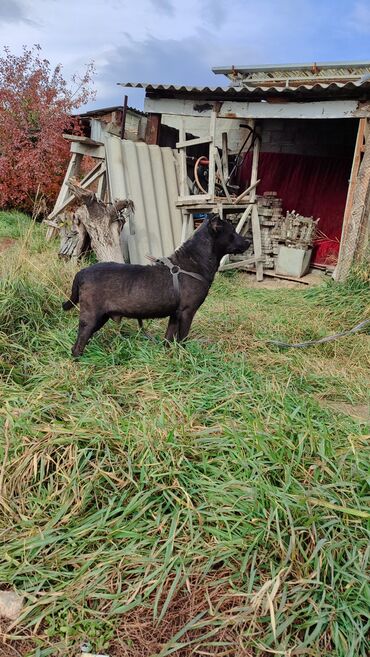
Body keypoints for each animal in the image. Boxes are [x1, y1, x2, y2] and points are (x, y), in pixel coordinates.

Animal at [62, 214, 249, 358]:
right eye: (233, 232)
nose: (248, 242)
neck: (194, 261)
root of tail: (82, 272)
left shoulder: (175, 315)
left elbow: (169, 338)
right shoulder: (187, 312)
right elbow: (183, 339)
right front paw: (185, 357)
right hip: (92, 317)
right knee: (77, 345)